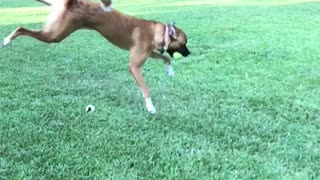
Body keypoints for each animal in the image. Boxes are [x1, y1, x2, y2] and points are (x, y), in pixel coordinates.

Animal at [0, 0, 190, 114]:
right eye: (183, 43)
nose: (189, 53)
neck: (158, 32)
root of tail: (74, 3)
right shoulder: (134, 67)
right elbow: (145, 89)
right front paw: (150, 107)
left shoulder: (149, 53)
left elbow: (167, 58)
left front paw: (170, 72)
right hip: (55, 35)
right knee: (21, 28)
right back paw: (7, 40)